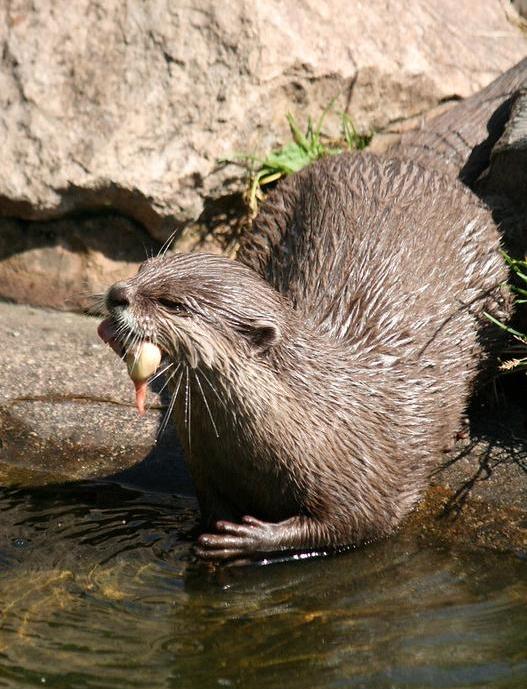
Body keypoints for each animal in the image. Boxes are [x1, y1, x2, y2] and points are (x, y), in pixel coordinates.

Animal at [98, 151, 510, 561]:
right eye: (143, 268)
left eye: (173, 304)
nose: (118, 293)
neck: (309, 418)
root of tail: (400, 159)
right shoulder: (204, 465)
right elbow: (212, 506)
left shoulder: (364, 473)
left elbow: (357, 523)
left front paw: (248, 539)